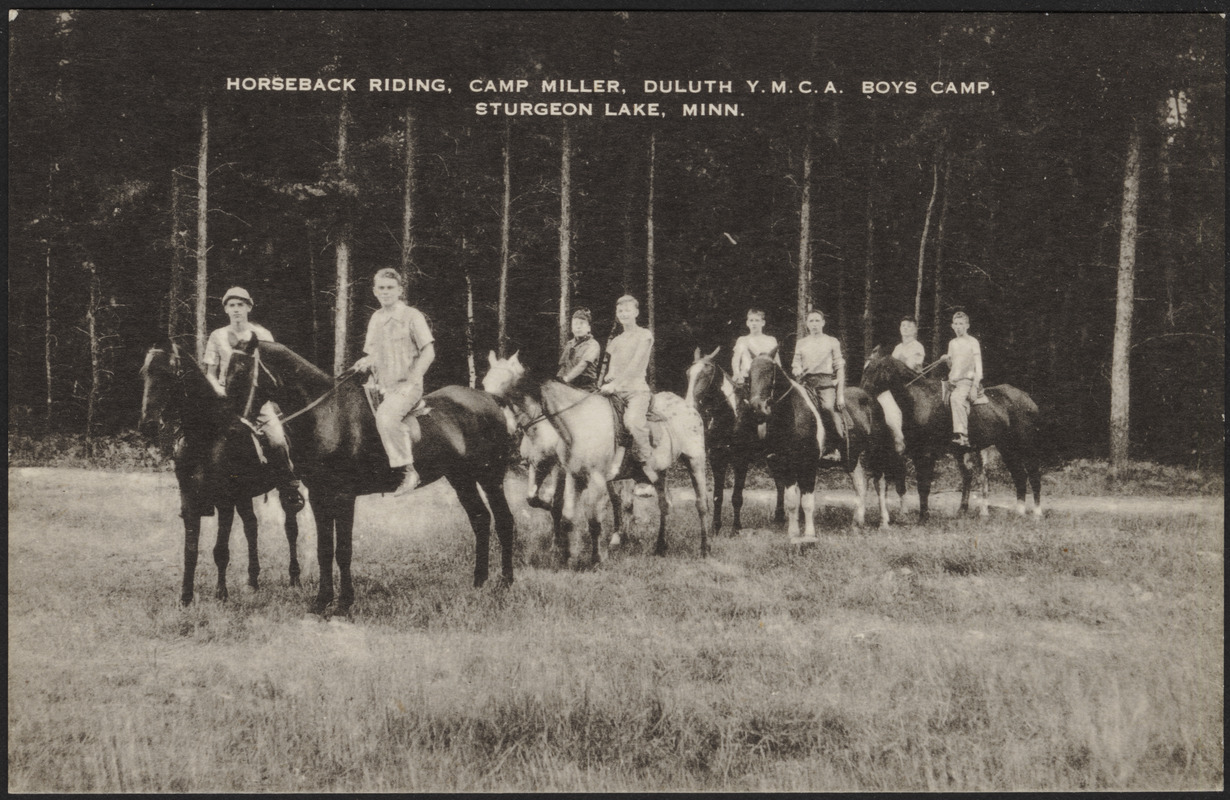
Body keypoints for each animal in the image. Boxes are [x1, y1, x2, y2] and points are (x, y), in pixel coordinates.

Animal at [138, 337, 301, 605]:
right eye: (145, 373)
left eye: (168, 373)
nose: (148, 423)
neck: (207, 435)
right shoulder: (189, 499)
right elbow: (191, 550)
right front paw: (185, 597)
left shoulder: (225, 501)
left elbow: (220, 550)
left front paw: (221, 594)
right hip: (244, 496)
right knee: (251, 527)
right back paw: (253, 581)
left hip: (284, 488)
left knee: (291, 528)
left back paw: (295, 577)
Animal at [226, 337, 514, 617]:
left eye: (241, 371)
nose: (232, 425)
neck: (327, 414)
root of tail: (488, 398)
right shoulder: (319, 495)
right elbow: (324, 549)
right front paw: (321, 601)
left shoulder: (344, 496)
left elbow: (343, 550)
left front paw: (344, 604)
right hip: (460, 478)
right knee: (480, 519)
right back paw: (479, 581)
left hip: (490, 476)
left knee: (504, 520)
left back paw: (505, 582)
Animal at [479, 349, 713, 566]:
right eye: (484, 381)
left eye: (504, 382)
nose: (489, 417)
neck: (576, 421)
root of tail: (687, 406)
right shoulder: (553, 470)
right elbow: (559, 512)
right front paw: (567, 556)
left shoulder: (589, 476)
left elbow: (591, 519)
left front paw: (595, 558)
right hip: (659, 472)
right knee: (664, 505)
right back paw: (660, 547)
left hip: (695, 461)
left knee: (701, 504)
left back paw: (704, 548)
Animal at [688, 344, 782, 531]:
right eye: (688, 373)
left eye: (706, 373)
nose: (689, 405)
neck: (730, 414)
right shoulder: (717, 457)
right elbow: (717, 496)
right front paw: (715, 527)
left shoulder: (741, 459)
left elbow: (737, 497)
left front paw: (736, 528)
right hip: (772, 457)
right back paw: (779, 517)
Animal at [861, 342, 1043, 516]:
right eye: (866, 368)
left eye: (875, 368)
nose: (863, 392)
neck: (920, 400)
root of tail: (1027, 398)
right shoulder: (914, 453)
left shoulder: (927, 453)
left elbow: (924, 485)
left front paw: (924, 515)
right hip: (1006, 447)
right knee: (1019, 475)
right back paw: (1019, 511)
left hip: (1026, 445)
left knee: (1034, 475)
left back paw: (1037, 512)